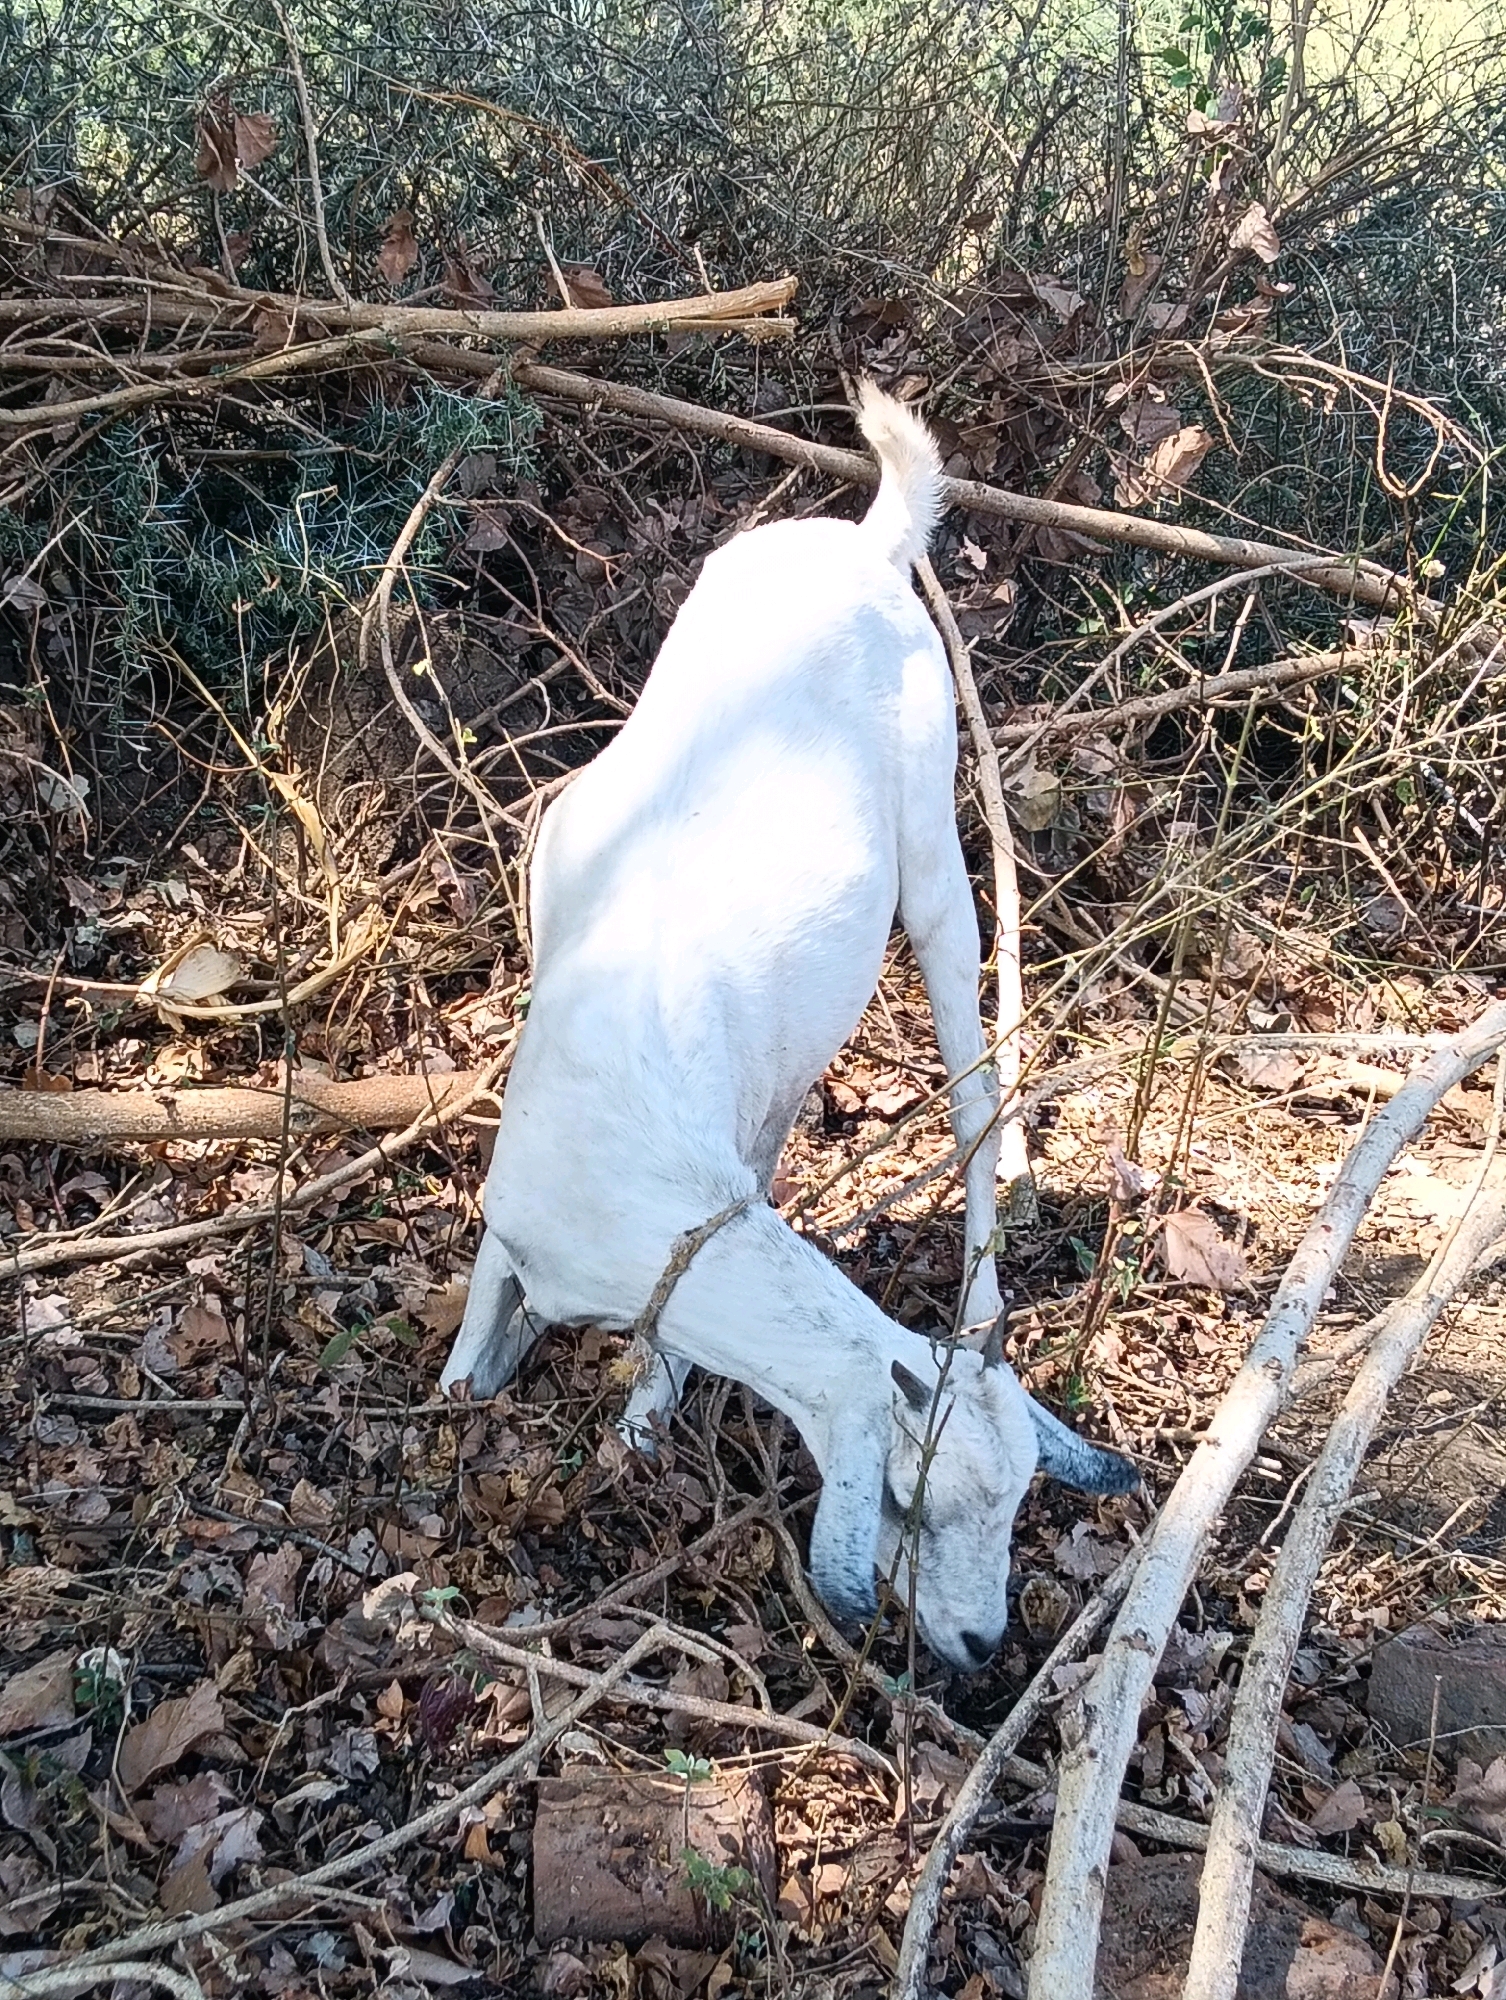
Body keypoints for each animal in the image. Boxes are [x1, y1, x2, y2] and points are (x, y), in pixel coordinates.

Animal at [440, 382, 1135, 1671]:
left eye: (1021, 1501)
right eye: (907, 1500)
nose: (984, 1645)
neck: (628, 1164)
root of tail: (873, 542)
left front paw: (638, 1429)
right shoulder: (521, 1206)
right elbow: (483, 1322)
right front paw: (468, 1392)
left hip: (934, 835)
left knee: (971, 1073)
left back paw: (984, 1286)